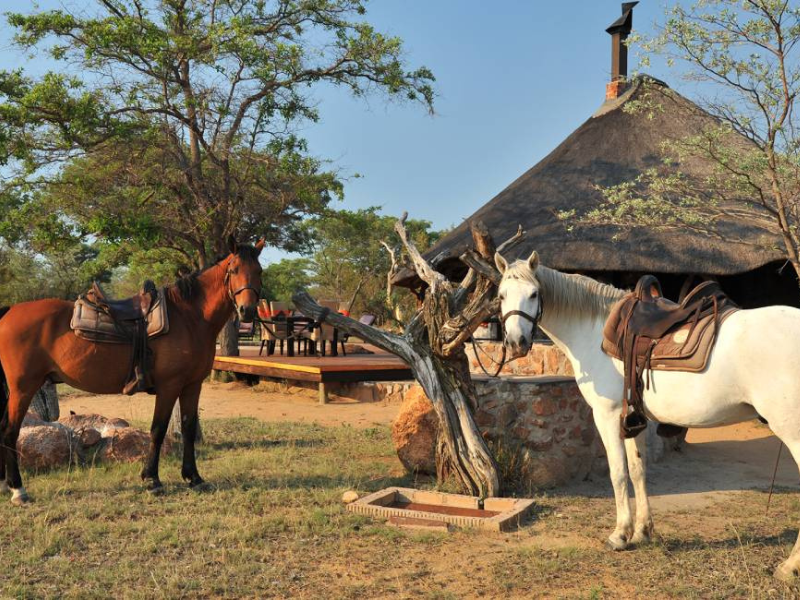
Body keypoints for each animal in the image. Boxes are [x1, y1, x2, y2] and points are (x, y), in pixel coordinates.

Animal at [0, 236, 263, 504]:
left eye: (259, 271)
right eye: (234, 270)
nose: (248, 311)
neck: (189, 317)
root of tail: (8, 312)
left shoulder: (192, 385)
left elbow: (189, 428)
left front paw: (194, 477)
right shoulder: (170, 386)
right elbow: (158, 430)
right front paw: (152, 479)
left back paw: (5, 484)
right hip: (23, 387)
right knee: (10, 431)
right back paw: (18, 489)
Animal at [495, 248, 800, 581]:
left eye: (534, 293)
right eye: (501, 295)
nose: (516, 343)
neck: (595, 331)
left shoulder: (606, 416)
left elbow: (618, 473)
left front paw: (619, 534)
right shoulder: (633, 419)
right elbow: (638, 471)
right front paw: (642, 532)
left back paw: (789, 566)